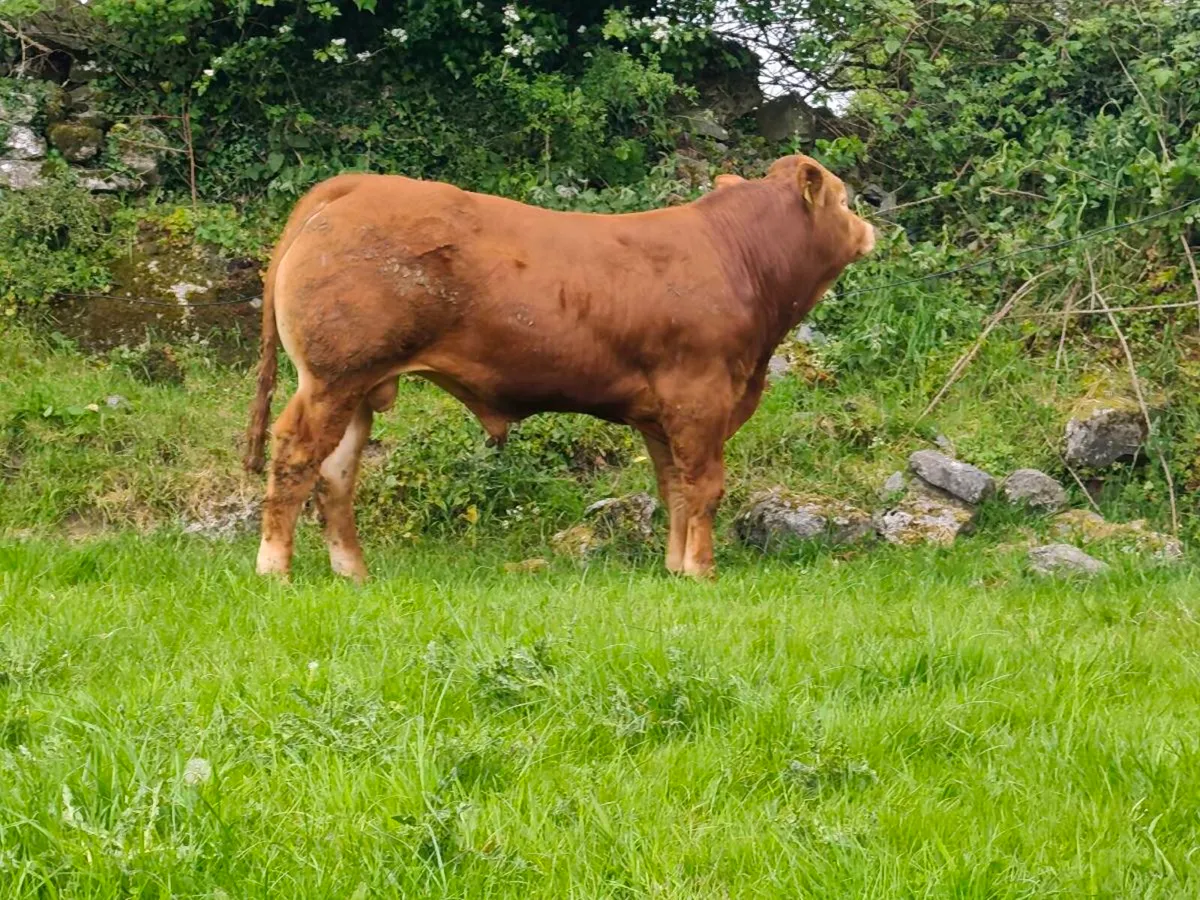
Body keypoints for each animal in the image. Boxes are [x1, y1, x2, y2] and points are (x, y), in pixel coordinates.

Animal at [243, 154, 875, 581]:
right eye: (845, 200)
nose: (871, 228)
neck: (737, 258)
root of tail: (358, 185)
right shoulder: (700, 396)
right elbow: (704, 486)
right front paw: (702, 570)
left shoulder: (663, 413)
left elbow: (673, 487)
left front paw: (675, 568)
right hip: (332, 377)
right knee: (295, 454)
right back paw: (274, 569)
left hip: (357, 385)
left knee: (335, 473)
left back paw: (353, 573)